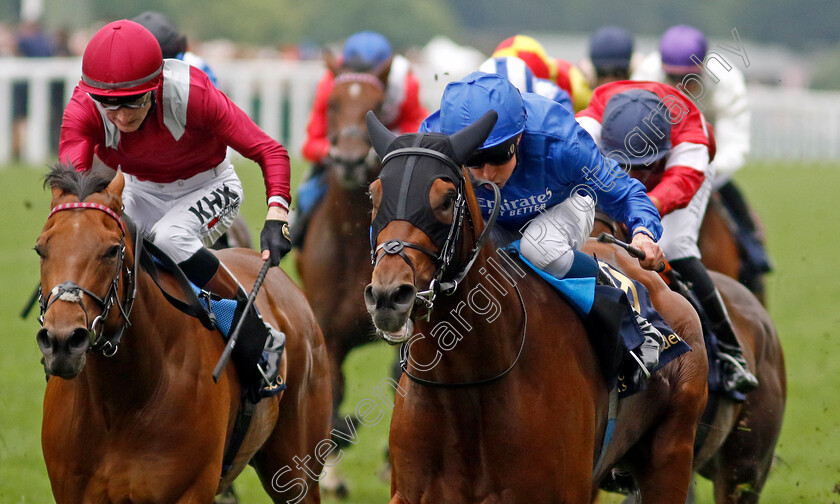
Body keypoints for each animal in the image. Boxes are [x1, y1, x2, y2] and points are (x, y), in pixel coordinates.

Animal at [37, 168, 332, 504]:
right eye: (41, 249)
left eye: (111, 250)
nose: (63, 340)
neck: (120, 402)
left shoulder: (188, 491)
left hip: (297, 469)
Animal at [364, 111, 712, 504]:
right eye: (374, 195)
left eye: (447, 198)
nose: (389, 295)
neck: (466, 384)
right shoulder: (411, 493)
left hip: (671, 454)